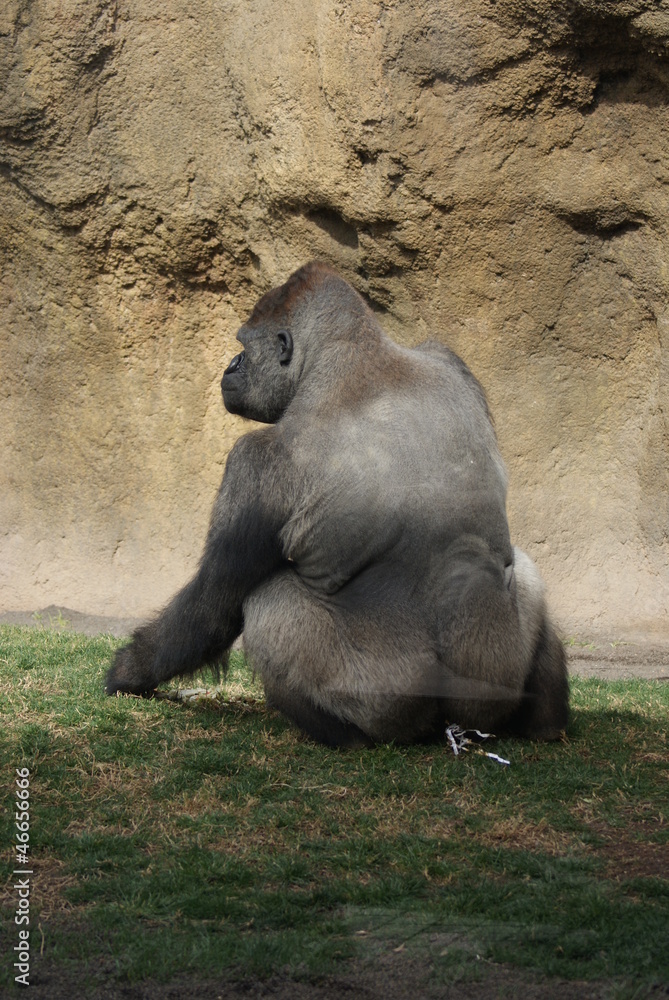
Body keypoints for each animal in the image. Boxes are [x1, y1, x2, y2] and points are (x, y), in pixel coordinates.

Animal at [106, 261, 569, 748]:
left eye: (243, 346)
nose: (231, 365)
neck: (356, 356)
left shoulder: (255, 461)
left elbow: (212, 605)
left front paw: (130, 671)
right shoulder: (451, 361)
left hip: (387, 702)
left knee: (269, 605)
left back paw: (341, 735)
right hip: (494, 675)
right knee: (525, 567)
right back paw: (546, 725)